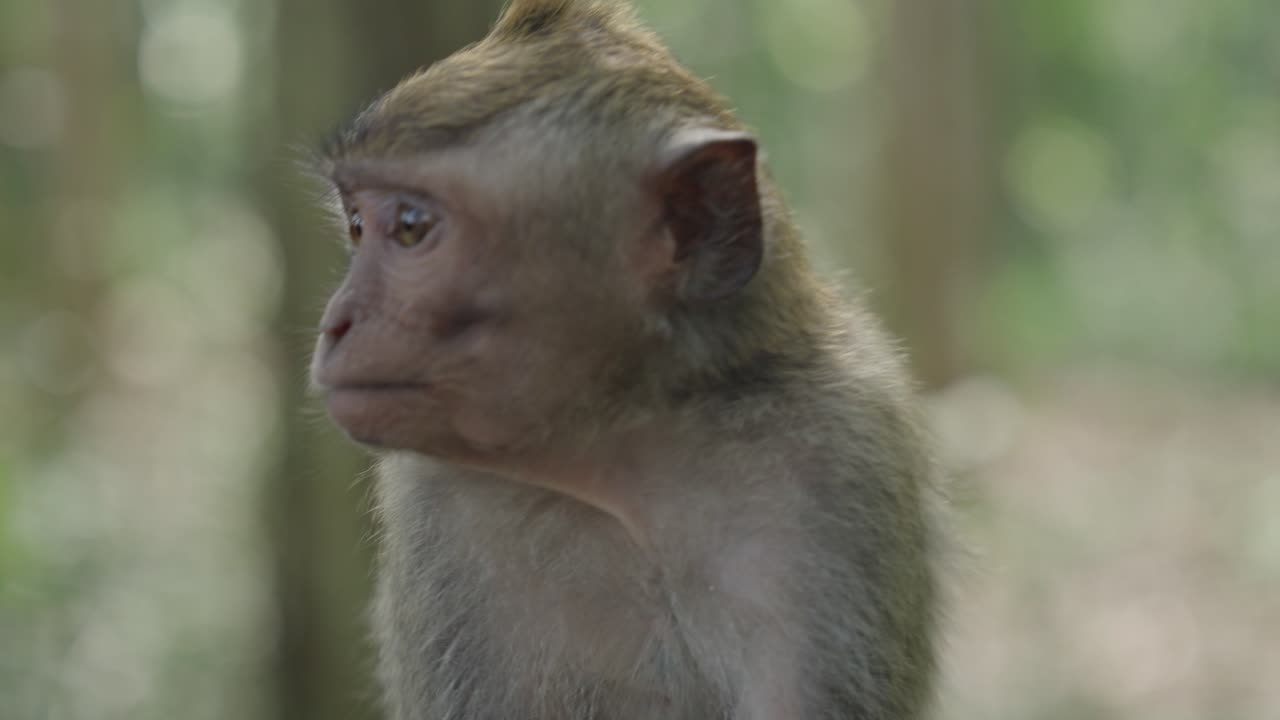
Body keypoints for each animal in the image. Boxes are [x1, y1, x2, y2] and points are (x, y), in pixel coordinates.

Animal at [308, 1, 945, 718]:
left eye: (411, 227)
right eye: (356, 225)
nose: (335, 323)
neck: (617, 449)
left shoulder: (836, 463)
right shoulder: (438, 509)